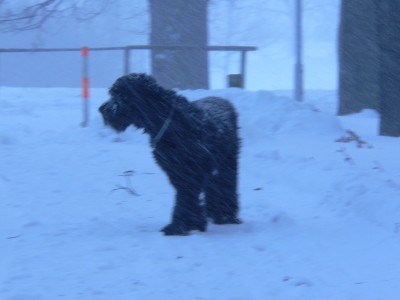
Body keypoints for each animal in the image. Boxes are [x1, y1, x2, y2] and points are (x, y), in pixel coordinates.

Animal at [99, 73, 241, 237]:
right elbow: (185, 197)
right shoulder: (177, 171)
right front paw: (191, 223)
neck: (168, 122)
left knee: (226, 185)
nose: (102, 109)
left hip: (227, 162)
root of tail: (224, 101)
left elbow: (185, 197)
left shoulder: (191, 172)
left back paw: (225, 215)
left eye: (119, 95)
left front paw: (179, 226)